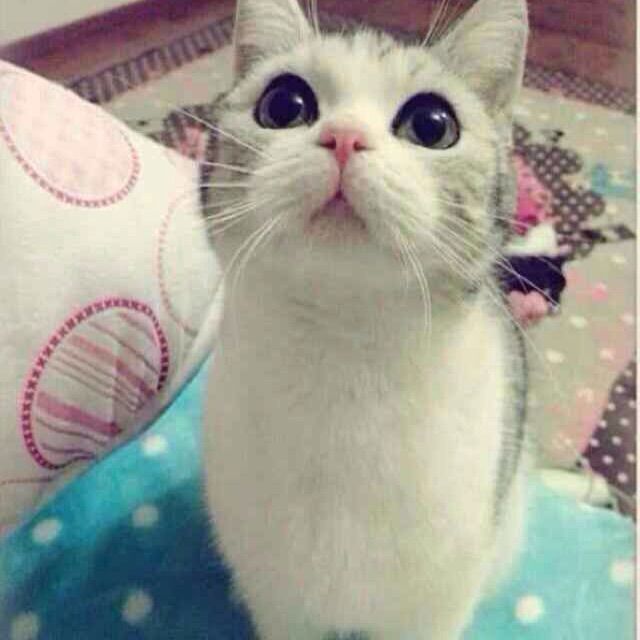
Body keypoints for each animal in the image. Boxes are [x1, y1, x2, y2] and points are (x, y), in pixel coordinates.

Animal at [202, 0, 530, 638]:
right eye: (284, 104)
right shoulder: (280, 603)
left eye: (432, 124)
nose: (344, 137)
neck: (343, 354)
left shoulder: (434, 606)